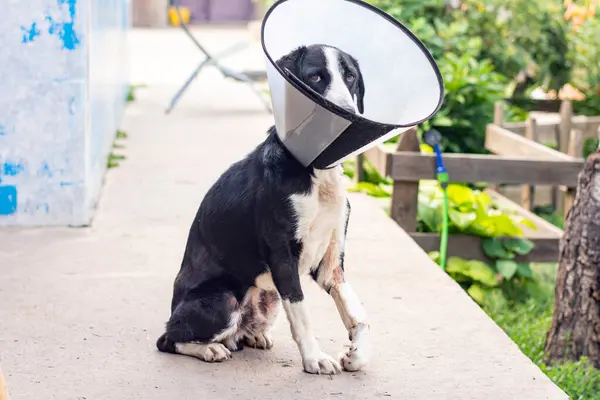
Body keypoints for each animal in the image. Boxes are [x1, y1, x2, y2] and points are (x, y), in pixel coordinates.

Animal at [155, 44, 370, 376]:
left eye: (349, 76)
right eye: (315, 77)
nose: (349, 114)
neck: (313, 172)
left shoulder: (331, 265)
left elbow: (357, 315)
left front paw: (355, 355)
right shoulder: (282, 256)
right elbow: (303, 314)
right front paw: (315, 358)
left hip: (269, 300)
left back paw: (252, 336)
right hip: (224, 300)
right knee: (168, 338)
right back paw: (210, 349)